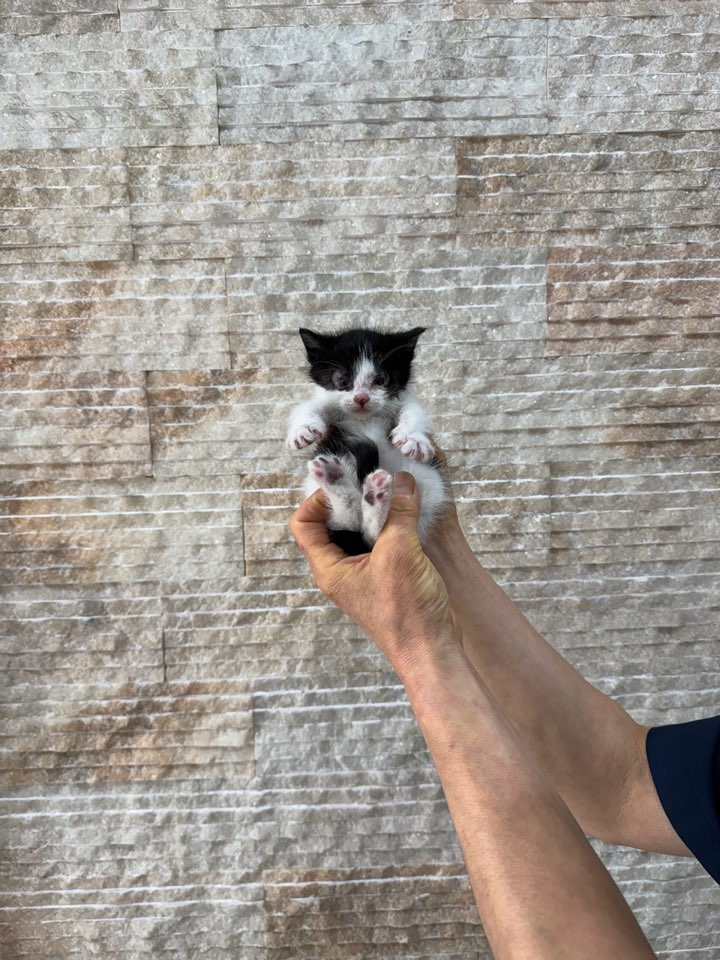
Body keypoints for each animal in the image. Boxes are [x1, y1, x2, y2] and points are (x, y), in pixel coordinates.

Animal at [286, 326, 444, 556]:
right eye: (342, 381)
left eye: (380, 380)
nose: (361, 398)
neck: (365, 418)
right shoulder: (327, 406)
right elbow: (308, 406)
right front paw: (302, 430)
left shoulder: (403, 401)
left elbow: (415, 411)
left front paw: (412, 438)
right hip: (317, 478)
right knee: (349, 523)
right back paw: (336, 479)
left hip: (427, 480)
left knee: (373, 537)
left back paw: (374, 498)